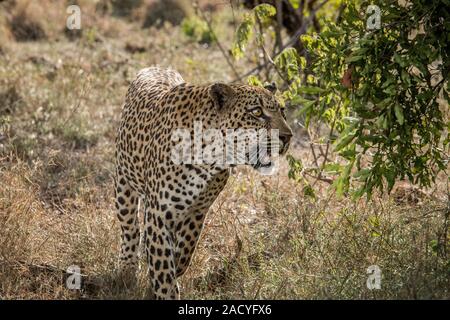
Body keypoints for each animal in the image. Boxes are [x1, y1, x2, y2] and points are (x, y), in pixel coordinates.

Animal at [114, 67, 294, 300]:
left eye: (282, 111)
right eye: (256, 112)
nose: (287, 137)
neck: (210, 155)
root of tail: (156, 67)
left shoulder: (198, 210)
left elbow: (184, 252)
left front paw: (168, 272)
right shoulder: (159, 212)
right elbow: (163, 267)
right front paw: (165, 290)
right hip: (123, 184)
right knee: (130, 228)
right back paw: (127, 269)